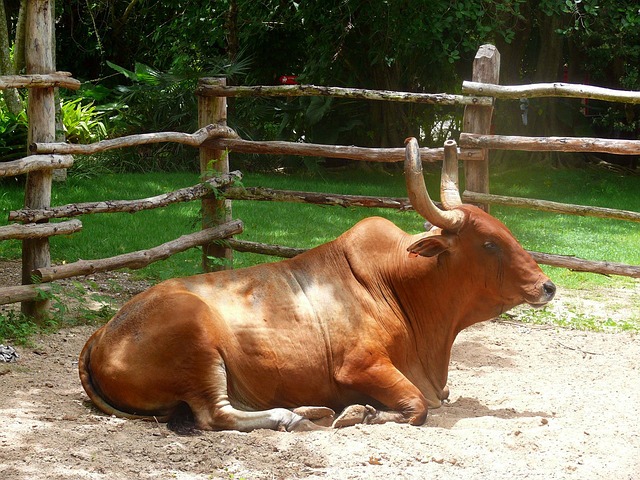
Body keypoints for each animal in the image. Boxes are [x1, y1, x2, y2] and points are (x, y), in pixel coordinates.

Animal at [79, 138, 556, 432]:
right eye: (489, 243)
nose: (548, 286)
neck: (399, 285)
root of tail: (103, 331)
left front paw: (356, 410)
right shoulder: (361, 365)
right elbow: (418, 407)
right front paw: (361, 413)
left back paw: (310, 408)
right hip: (197, 341)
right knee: (216, 414)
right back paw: (291, 417)